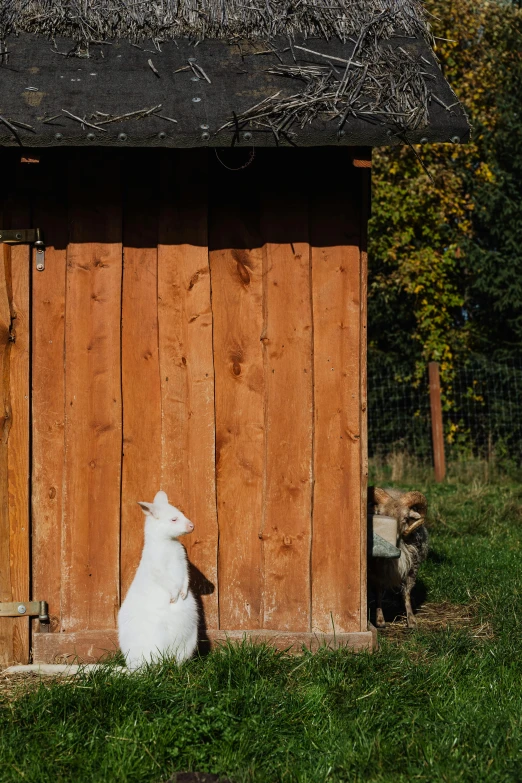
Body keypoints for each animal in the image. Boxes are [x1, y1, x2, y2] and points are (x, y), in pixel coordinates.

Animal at [117, 494, 197, 672]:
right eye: (174, 519)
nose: (192, 525)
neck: (168, 542)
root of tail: (131, 669)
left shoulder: (182, 562)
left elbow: (186, 577)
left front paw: (183, 594)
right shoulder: (157, 567)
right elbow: (167, 580)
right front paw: (174, 597)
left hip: (189, 640)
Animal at [366, 484, 426, 632]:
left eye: (405, 518)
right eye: (381, 514)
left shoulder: (412, 569)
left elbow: (407, 594)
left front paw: (411, 620)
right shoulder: (376, 571)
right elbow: (378, 591)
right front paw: (380, 620)